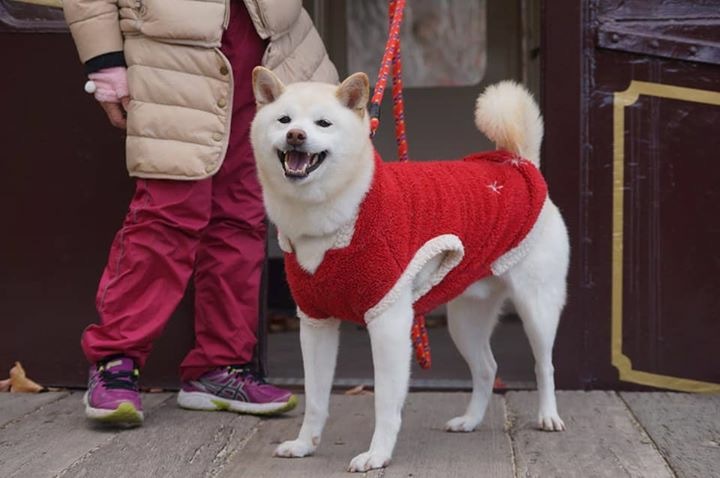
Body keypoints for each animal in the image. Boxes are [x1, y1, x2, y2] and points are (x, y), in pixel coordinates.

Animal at [250, 65, 572, 472]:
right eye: (284, 120)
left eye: (323, 123)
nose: (296, 135)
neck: (332, 215)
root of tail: (519, 163)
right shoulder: (315, 322)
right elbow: (316, 398)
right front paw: (306, 444)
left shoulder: (387, 321)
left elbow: (385, 403)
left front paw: (377, 455)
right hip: (465, 321)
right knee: (487, 367)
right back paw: (470, 420)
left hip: (537, 308)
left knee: (544, 364)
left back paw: (548, 415)